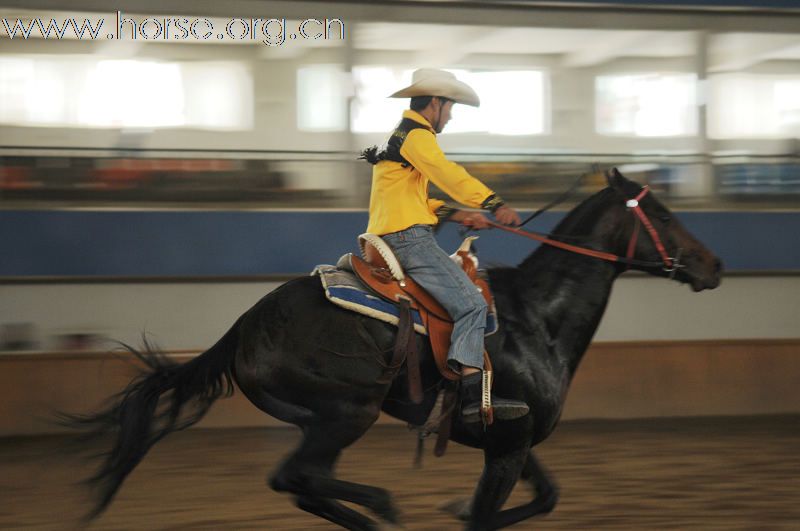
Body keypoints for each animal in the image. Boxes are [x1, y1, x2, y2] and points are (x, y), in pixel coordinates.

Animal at [67, 170, 720, 531]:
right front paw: (454, 509)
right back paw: (383, 506)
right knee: (296, 476)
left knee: (299, 485)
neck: (538, 319)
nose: (712, 264)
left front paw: (454, 508)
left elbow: (544, 497)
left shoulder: (513, 440)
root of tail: (244, 328)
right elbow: (486, 519)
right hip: (344, 413)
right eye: (663, 213)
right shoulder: (506, 445)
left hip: (319, 420)